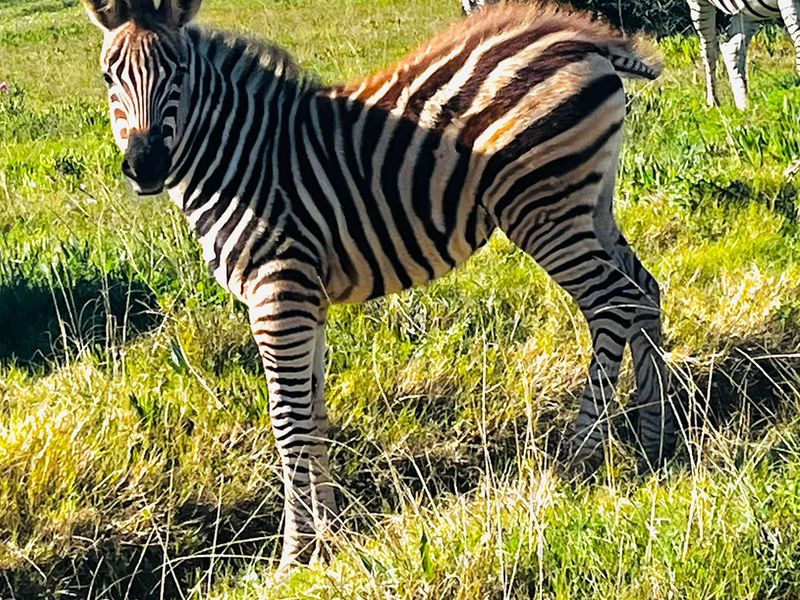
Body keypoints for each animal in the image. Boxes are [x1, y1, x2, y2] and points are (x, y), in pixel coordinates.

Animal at [81, 0, 675, 570]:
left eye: (177, 72)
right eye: (109, 76)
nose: (145, 164)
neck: (240, 162)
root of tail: (579, 38)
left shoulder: (278, 292)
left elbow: (289, 423)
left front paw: (294, 557)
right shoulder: (308, 300)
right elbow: (314, 415)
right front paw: (330, 539)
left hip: (541, 205)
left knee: (613, 302)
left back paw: (578, 461)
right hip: (590, 201)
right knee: (645, 291)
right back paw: (659, 439)